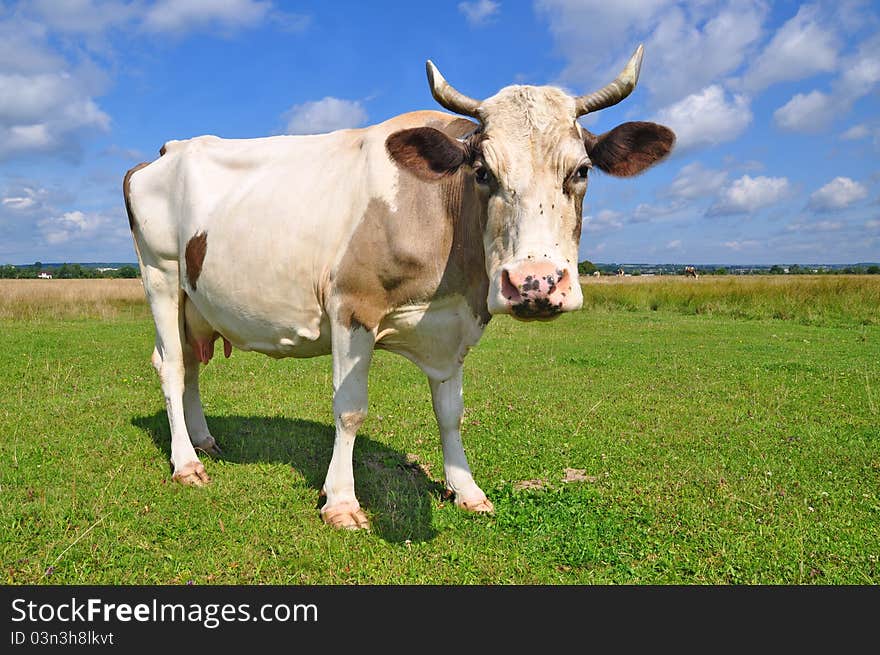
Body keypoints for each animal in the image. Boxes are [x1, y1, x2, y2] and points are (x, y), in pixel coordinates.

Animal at [124, 44, 672, 528]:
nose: (535, 282)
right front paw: (341, 502)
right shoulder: (352, 308)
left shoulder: (452, 326)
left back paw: (204, 441)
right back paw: (186, 463)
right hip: (161, 274)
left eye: (581, 171)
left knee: (192, 363)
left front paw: (465, 488)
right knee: (171, 365)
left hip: (196, 301)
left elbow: (451, 412)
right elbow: (349, 410)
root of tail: (169, 149)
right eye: (482, 171)